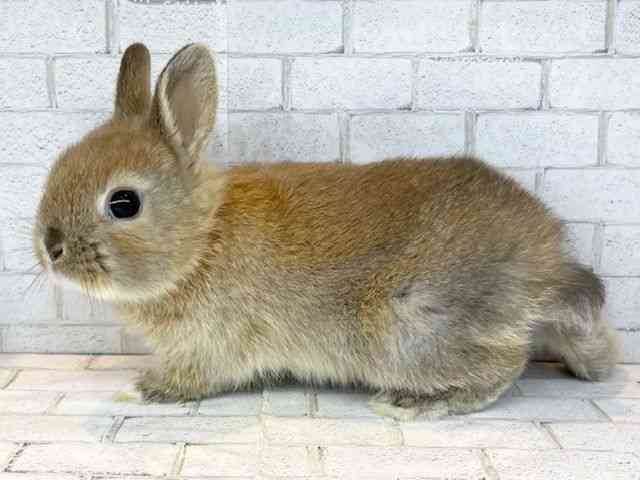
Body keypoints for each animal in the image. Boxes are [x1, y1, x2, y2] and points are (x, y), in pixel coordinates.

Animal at [33, 43, 620, 420]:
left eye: (123, 203)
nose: (50, 248)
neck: (201, 241)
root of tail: (543, 268)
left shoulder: (213, 345)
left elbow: (194, 380)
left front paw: (143, 390)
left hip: (413, 328)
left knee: (503, 366)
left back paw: (415, 404)